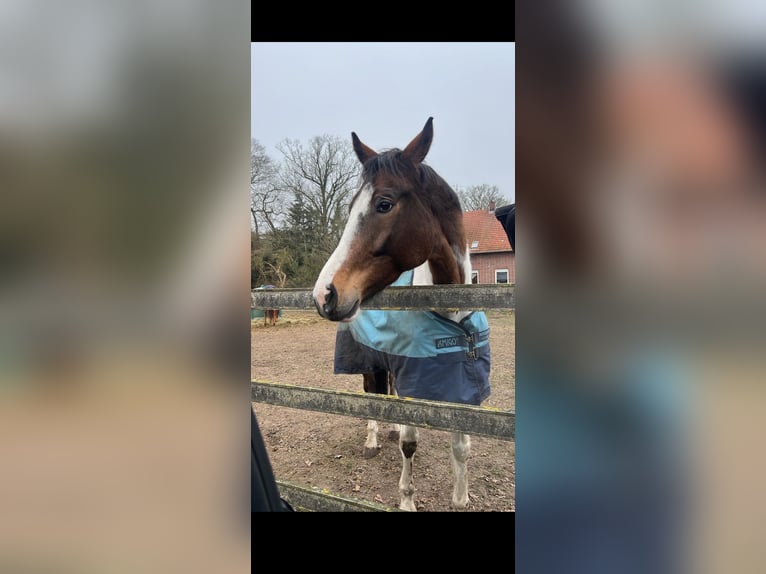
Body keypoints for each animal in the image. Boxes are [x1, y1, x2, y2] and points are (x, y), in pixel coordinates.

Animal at [313, 117, 491, 511]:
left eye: (384, 204)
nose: (323, 294)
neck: (450, 313)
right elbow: (410, 444)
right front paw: (407, 499)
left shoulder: (462, 385)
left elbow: (462, 445)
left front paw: (461, 497)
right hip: (368, 361)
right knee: (372, 394)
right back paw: (373, 440)